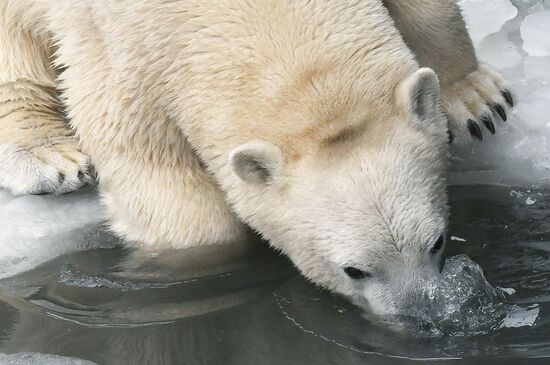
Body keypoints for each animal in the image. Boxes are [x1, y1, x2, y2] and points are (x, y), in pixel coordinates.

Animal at [1, 0, 516, 312]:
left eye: (437, 242)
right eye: (355, 270)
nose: (423, 313)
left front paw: (475, 100)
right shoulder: (115, 47)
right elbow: (146, 156)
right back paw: (50, 159)